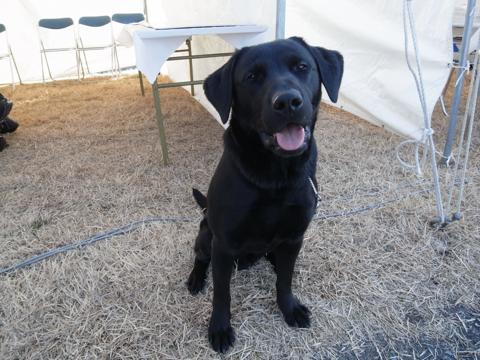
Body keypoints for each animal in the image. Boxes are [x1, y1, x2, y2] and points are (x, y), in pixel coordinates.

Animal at [187, 38, 342, 352]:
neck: (275, 177)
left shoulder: (295, 237)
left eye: (301, 67)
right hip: (206, 234)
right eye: (252, 77)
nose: (287, 102)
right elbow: (222, 293)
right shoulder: (223, 244)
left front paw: (289, 308)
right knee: (200, 257)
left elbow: (285, 280)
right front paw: (219, 328)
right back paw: (196, 278)